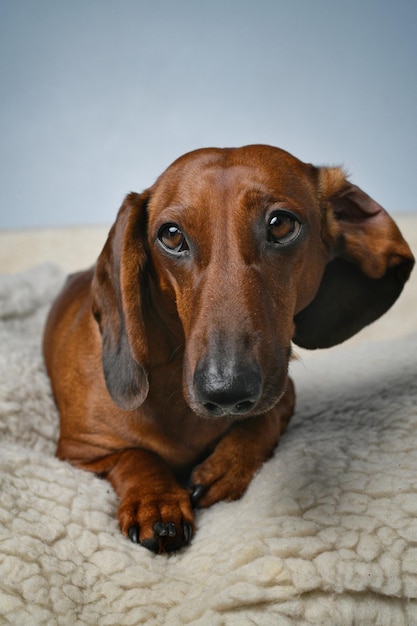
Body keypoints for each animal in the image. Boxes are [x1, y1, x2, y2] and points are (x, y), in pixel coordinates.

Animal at [44, 145, 414, 552]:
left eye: (280, 225)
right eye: (171, 235)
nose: (225, 391)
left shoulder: (282, 391)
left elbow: (263, 419)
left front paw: (228, 465)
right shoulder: (78, 452)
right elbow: (135, 456)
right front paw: (156, 501)